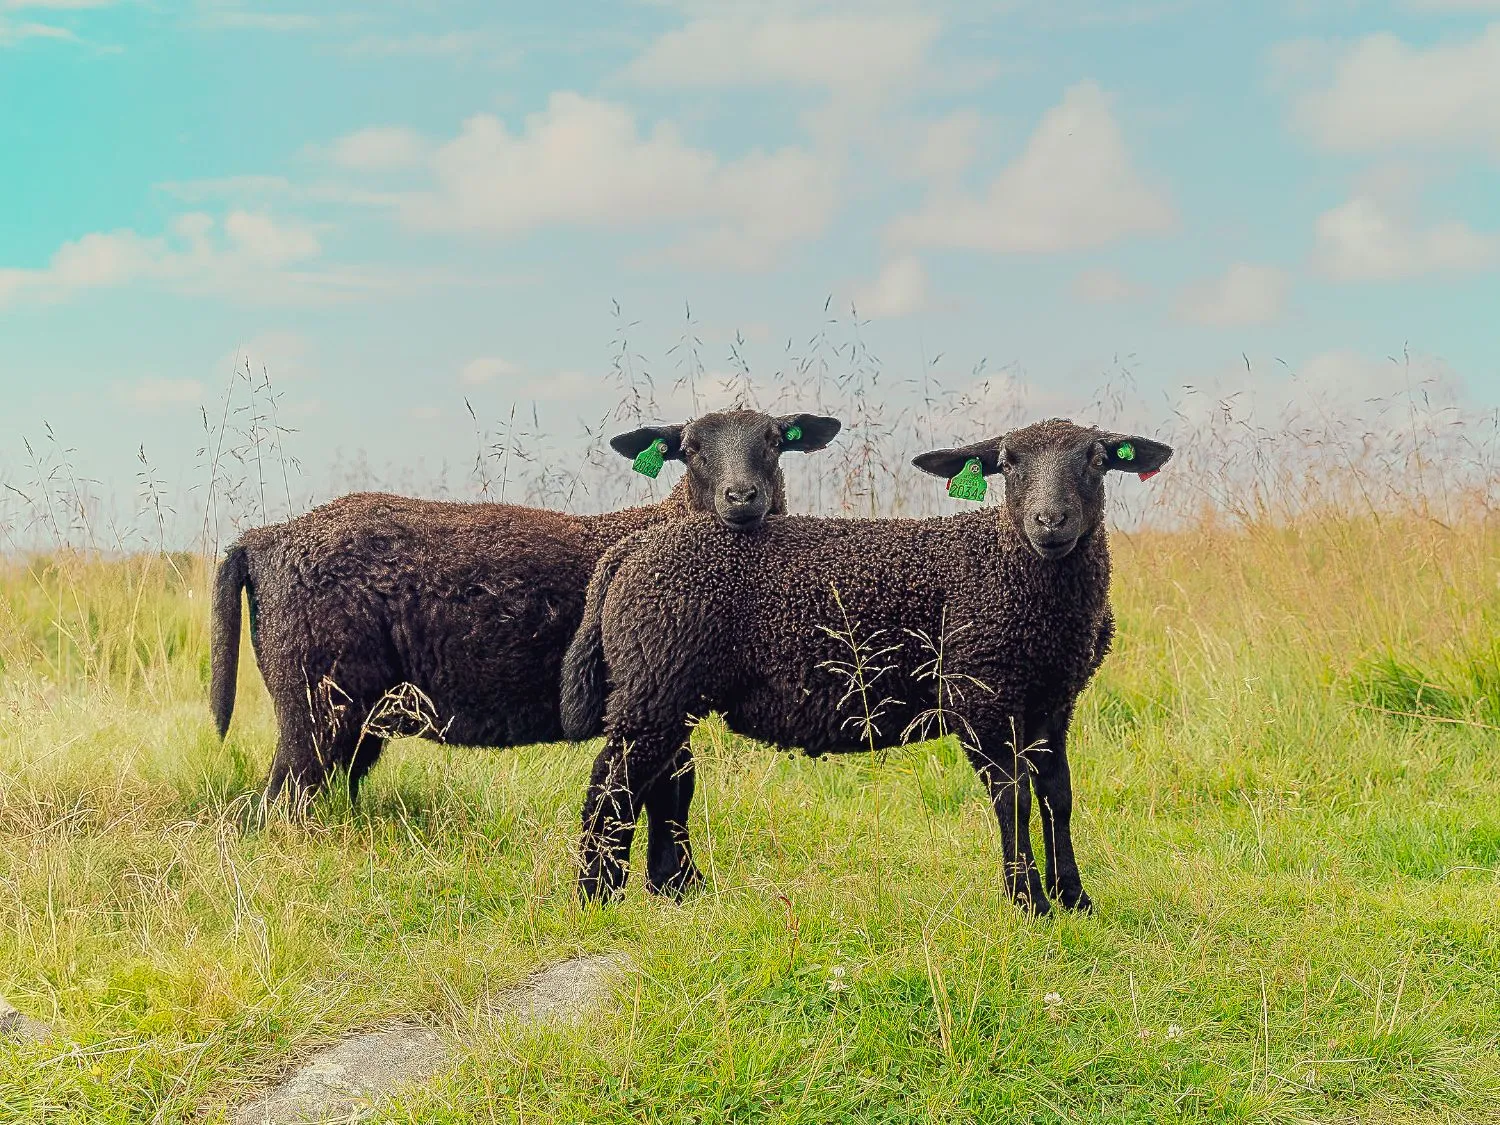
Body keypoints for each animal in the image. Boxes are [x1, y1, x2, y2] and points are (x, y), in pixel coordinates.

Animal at [209, 408, 842, 811]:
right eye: (688, 452)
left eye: (774, 441)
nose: (742, 498)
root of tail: (262, 539)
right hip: (315, 696)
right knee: (280, 805)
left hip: (357, 711)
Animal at [561, 418, 1171, 912]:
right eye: (1008, 463)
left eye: (1096, 459)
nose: (1049, 522)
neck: (1008, 563)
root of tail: (634, 547)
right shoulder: (979, 695)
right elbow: (1014, 797)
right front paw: (1029, 902)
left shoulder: (1052, 699)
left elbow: (1057, 794)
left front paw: (1074, 898)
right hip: (655, 685)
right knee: (609, 785)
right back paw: (595, 898)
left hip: (666, 690)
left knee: (654, 782)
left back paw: (658, 889)